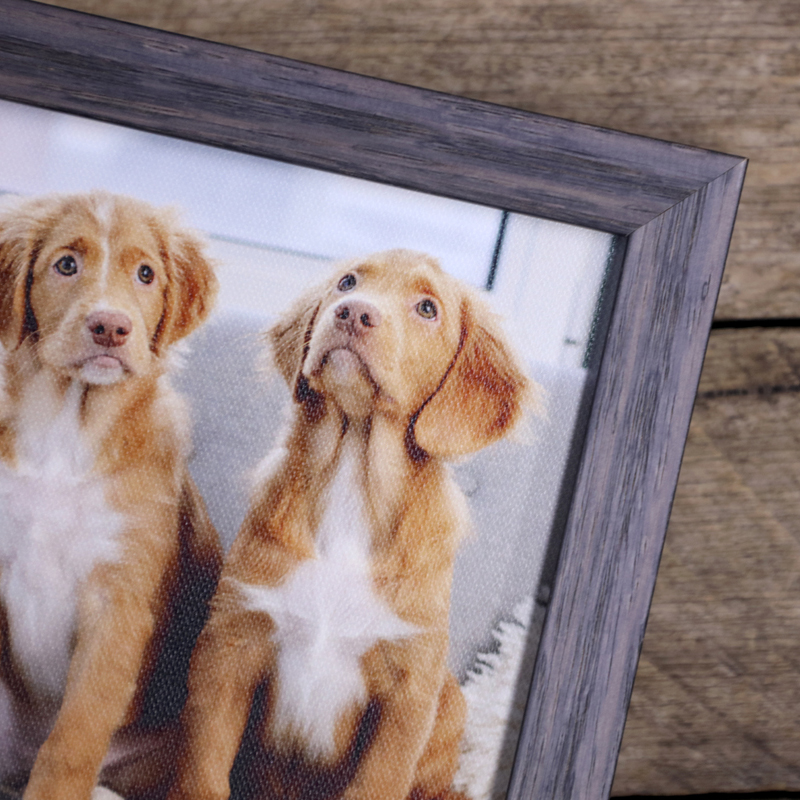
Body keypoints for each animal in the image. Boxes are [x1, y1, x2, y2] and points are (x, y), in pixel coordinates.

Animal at [0, 192, 222, 800]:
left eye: (146, 274)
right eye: (66, 264)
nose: (110, 327)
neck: (66, 436)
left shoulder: (118, 602)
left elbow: (75, 736)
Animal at [169, 248, 532, 800]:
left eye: (428, 308)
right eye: (347, 282)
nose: (353, 312)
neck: (353, 482)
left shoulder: (408, 693)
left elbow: (377, 783)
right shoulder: (230, 645)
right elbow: (202, 772)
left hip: (448, 710)